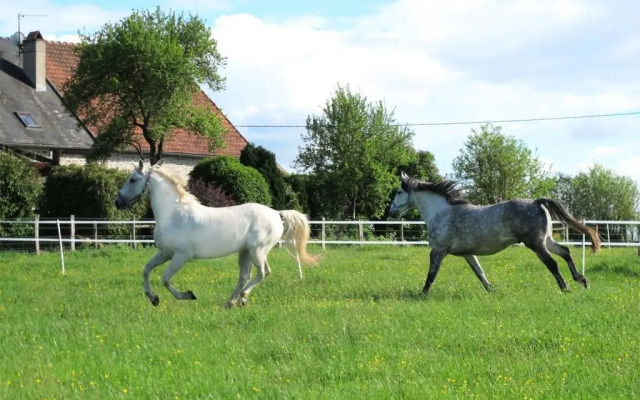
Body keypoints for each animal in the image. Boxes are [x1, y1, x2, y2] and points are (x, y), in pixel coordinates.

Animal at [115, 160, 319, 308]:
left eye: (132, 179)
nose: (118, 202)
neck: (173, 214)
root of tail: (277, 214)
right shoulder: (165, 253)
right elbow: (146, 270)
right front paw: (153, 298)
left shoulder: (181, 256)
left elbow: (165, 279)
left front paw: (188, 295)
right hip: (245, 252)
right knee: (244, 276)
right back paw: (231, 302)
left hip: (258, 250)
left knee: (263, 272)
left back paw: (242, 298)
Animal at [389, 172, 601, 294]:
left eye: (398, 192)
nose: (391, 212)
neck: (441, 213)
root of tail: (536, 201)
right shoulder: (467, 253)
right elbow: (479, 272)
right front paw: (491, 290)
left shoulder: (438, 251)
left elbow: (431, 274)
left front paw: (422, 294)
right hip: (546, 240)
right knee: (565, 252)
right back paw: (582, 280)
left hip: (536, 244)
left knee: (553, 263)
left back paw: (565, 288)